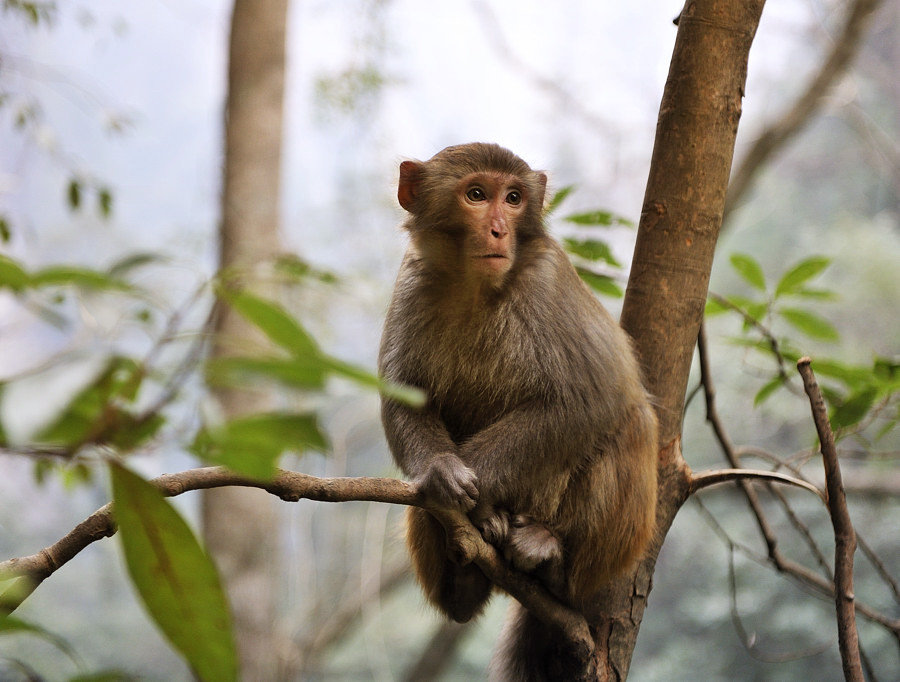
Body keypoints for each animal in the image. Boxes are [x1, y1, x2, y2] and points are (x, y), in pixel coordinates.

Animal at [380, 141, 660, 676]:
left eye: (513, 198)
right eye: (476, 195)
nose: (498, 229)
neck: (474, 285)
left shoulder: (548, 278)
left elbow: (591, 397)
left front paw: (479, 492)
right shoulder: (412, 277)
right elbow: (404, 398)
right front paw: (443, 473)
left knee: (630, 421)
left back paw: (551, 560)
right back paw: (462, 581)